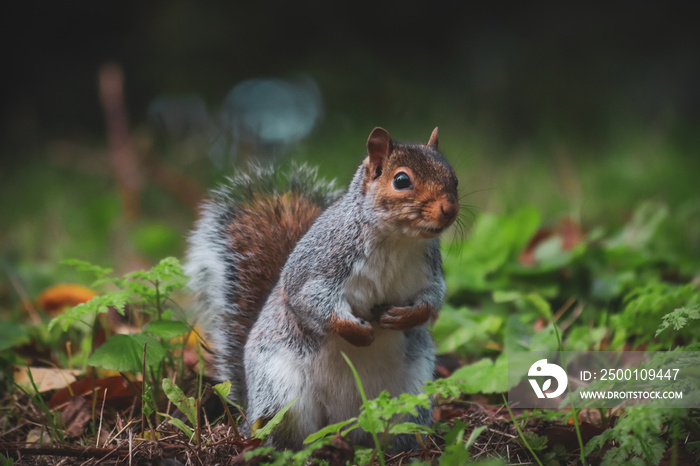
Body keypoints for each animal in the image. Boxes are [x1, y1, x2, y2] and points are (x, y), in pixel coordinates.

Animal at [186, 125, 460, 450]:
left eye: (454, 177)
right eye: (402, 180)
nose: (449, 209)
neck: (398, 239)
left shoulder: (431, 273)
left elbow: (433, 299)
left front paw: (405, 317)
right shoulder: (319, 265)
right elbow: (310, 301)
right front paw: (355, 331)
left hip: (410, 399)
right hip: (281, 396)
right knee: (290, 438)